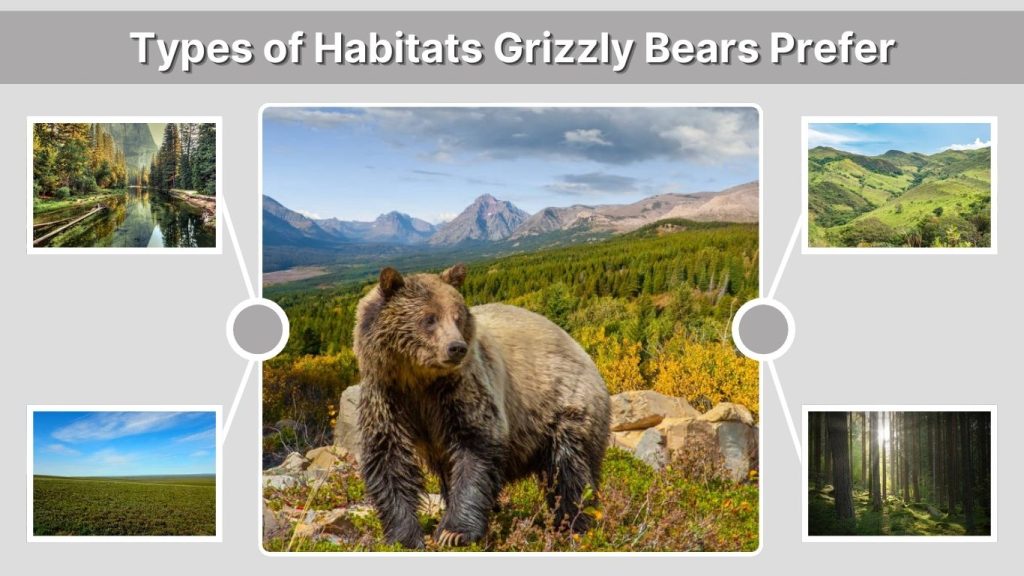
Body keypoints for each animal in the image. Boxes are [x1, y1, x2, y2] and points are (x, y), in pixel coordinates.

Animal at [353, 263, 611, 549]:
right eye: (429, 318)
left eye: (457, 317)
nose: (456, 347)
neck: (418, 379)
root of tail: (582, 352)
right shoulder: (388, 395)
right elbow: (388, 458)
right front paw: (404, 537)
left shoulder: (461, 389)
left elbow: (475, 446)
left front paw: (453, 532)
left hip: (564, 406)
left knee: (569, 470)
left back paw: (574, 524)